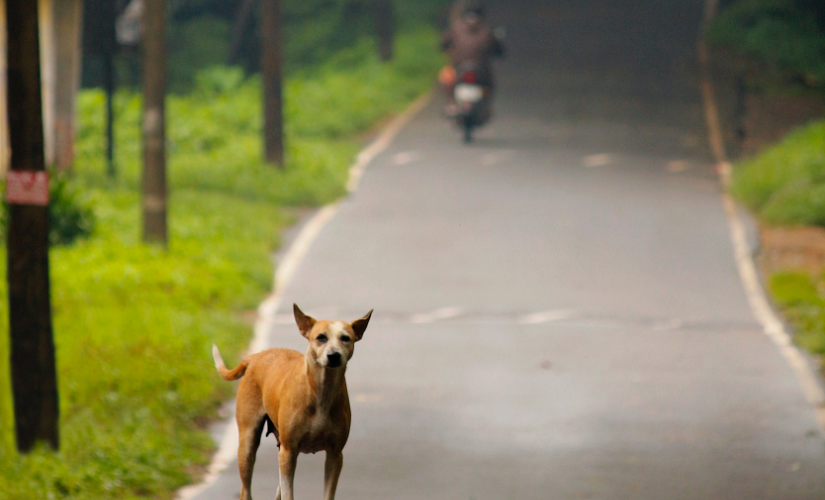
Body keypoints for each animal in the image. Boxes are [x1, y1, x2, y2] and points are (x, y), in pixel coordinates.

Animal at [211, 302, 372, 500]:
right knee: (246, 487)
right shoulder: (288, 453)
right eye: (321, 337)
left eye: (345, 338)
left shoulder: (335, 455)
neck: (320, 391)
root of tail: (255, 357)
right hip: (248, 442)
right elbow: (289, 492)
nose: (334, 355)